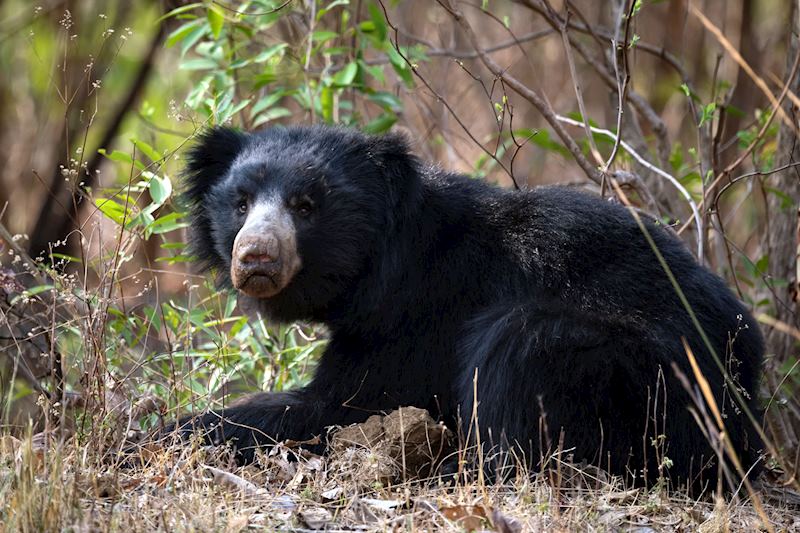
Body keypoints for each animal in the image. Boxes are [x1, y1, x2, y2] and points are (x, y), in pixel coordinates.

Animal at [178, 125, 764, 490]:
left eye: (305, 206)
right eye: (240, 204)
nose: (256, 256)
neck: (388, 262)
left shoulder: (418, 318)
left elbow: (339, 406)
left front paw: (175, 432)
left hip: (650, 382)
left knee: (518, 345)